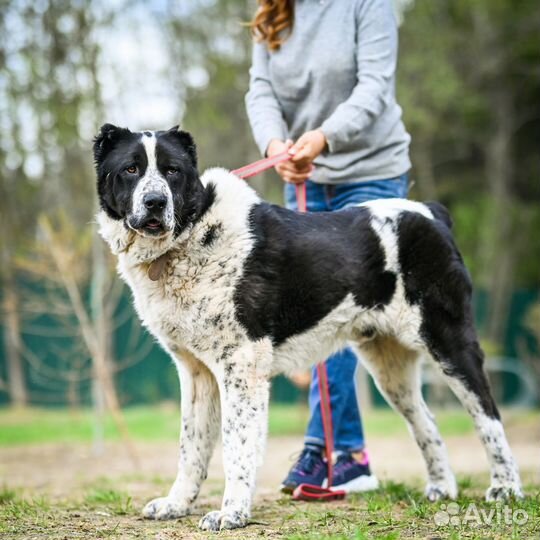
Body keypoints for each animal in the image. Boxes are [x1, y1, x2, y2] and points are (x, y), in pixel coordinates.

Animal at [94, 124, 524, 528]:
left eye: (173, 171)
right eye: (131, 169)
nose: (155, 202)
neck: (192, 231)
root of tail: (432, 213)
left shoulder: (242, 368)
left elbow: (237, 445)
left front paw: (232, 513)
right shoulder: (197, 373)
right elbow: (191, 447)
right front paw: (177, 505)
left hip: (450, 342)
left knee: (488, 416)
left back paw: (505, 488)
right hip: (389, 367)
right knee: (427, 421)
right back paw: (441, 488)